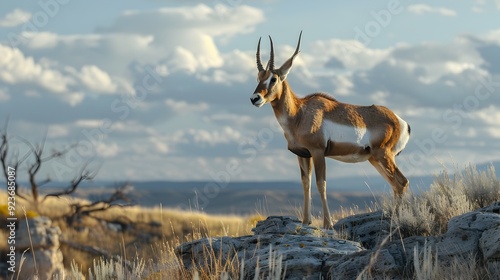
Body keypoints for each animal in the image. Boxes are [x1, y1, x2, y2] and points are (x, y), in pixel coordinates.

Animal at [250, 31, 410, 229]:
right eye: (258, 77)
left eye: (273, 78)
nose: (255, 98)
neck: (300, 113)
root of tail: (400, 121)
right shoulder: (302, 154)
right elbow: (306, 183)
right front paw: (306, 221)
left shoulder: (318, 152)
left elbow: (321, 184)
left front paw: (328, 224)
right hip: (374, 158)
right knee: (396, 184)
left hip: (383, 156)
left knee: (401, 182)